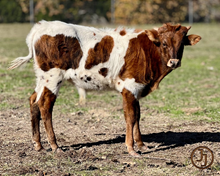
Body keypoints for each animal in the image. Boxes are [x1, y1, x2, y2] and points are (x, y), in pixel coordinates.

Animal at [9, 20, 201, 157]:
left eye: (181, 44)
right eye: (163, 43)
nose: (174, 62)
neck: (147, 51)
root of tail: (42, 26)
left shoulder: (137, 88)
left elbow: (138, 116)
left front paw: (141, 144)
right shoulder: (129, 87)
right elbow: (131, 117)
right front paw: (131, 148)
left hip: (42, 78)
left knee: (34, 101)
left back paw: (39, 145)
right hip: (53, 77)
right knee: (45, 105)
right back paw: (54, 145)